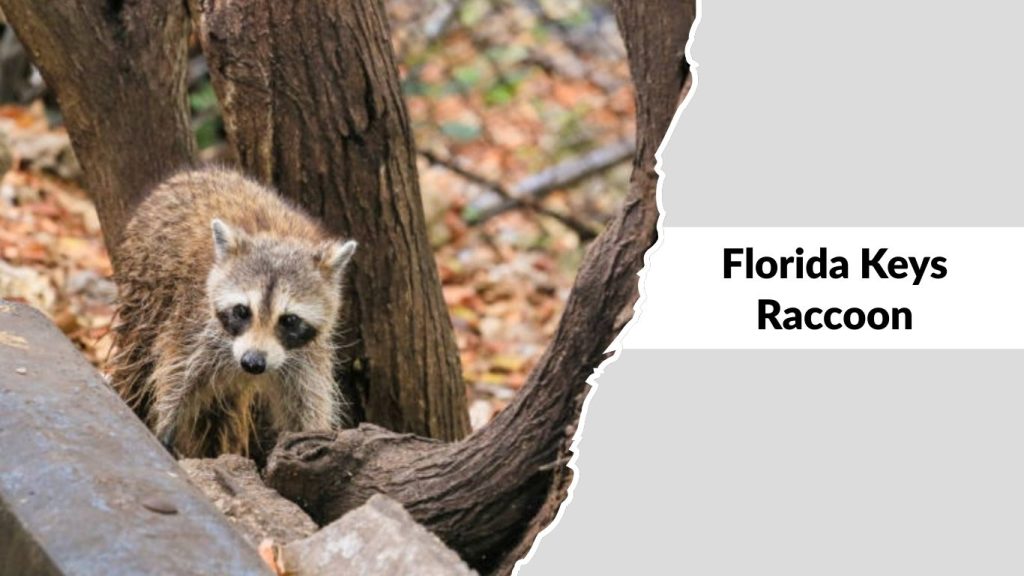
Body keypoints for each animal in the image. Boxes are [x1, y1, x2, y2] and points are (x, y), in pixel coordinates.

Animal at [109, 167, 356, 460]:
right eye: (242, 311)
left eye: (289, 320)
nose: (253, 362)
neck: (278, 237)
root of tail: (196, 172)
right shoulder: (192, 325)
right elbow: (175, 381)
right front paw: (163, 431)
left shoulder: (308, 355)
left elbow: (307, 403)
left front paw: (311, 440)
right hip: (145, 294)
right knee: (137, 364)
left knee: (218, 414)